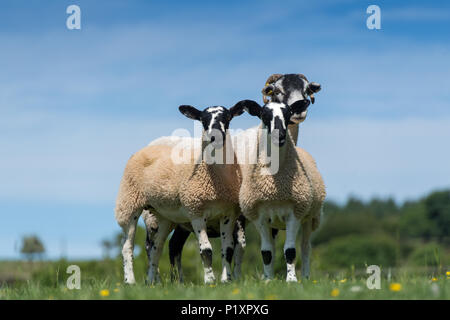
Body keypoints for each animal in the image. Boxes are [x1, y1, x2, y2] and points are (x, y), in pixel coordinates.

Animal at [114, 102, 246, 282]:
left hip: (163, 215)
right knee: (128, 247)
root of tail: (145, 148)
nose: (214, 137)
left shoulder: (229, 214)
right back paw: (130, 281)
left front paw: (227, 280)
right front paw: (210, 281)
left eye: (227, 118)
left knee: (156, 248)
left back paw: (152, 282)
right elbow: (206, 250)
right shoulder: (195, 210)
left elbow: (228, 249)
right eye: (202, 120)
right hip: (129, 202)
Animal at [234, 99, 326, 282]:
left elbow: (290, 251)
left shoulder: (295, 213)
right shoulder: (259, 217)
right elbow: (267, 252)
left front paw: (291, 280)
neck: (274, 189)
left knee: (306, 247)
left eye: (288, 113)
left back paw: (306, 277)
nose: (281, 135)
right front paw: (268, 280)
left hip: (310, 217)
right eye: (263, 114)